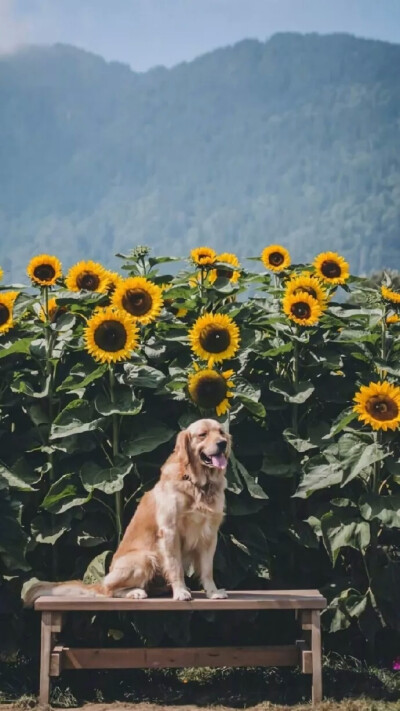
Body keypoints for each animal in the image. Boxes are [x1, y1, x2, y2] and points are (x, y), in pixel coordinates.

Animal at [25, 420, 230, 604]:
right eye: (202, 434)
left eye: (221, 432)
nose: (223, 443)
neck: (198, 484)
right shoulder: (170, 532)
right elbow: (175, 566)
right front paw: (180, 591)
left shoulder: (210, 534)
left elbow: (207, 569)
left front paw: (213, 592)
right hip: (144, 558)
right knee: (110, 590)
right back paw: (135, 592)